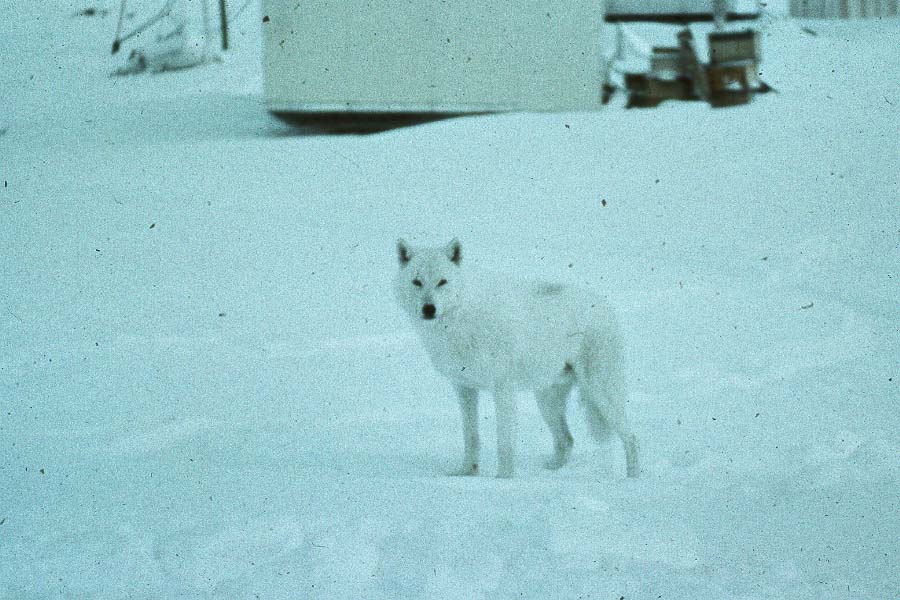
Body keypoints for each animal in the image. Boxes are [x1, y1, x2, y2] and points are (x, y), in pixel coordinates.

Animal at [394, 238, 639, 479]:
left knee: (631, 436)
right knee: (567, 440)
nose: (429, 308)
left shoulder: (503, 388)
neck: (461, 318)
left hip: (601, 394)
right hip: (547, 401)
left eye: (442, 282)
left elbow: (504, 440)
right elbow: (471, 437)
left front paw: (504, 479)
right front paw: (466, 473)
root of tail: (605, 306)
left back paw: (633, 477)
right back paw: (550, 472)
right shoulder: (464, 388)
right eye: (417, 282)